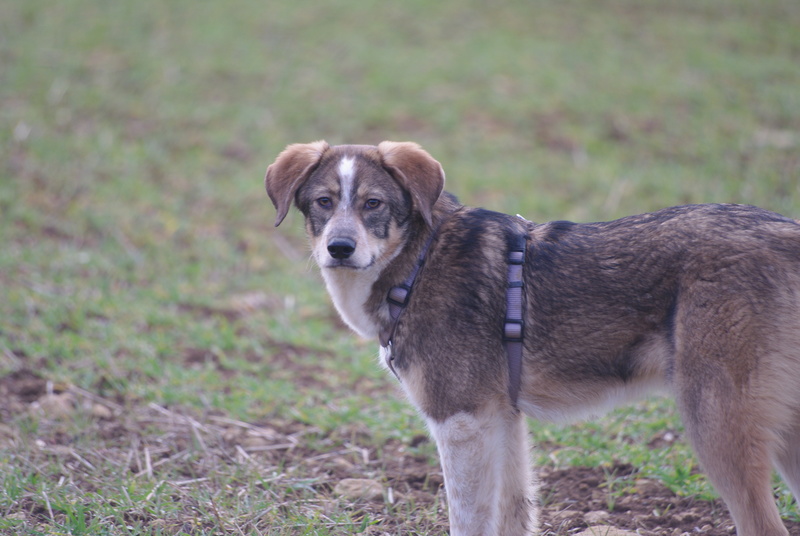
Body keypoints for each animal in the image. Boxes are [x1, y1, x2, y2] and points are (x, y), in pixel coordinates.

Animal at [268, 141, 800, 536]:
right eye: (323, 202)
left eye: (373, 204)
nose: (339, 248)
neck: (417, 262)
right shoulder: (502, 421)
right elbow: (514, 515)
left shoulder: (460, 423)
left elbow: (468, 522)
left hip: (717, 425)